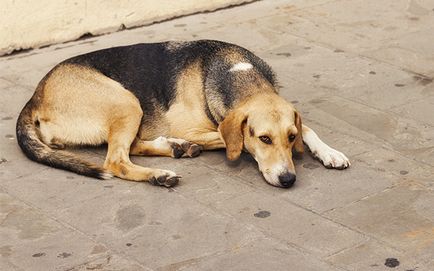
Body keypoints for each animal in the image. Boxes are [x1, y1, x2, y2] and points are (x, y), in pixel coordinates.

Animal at [15, 39, 350, 189]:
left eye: (289, 137)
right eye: (264, 138)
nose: (288, 179)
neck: (236, 71)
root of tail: (35, 96)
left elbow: (308, 129)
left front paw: (329, 152)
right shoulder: (201, 129)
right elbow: (234, 140)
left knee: (131, 147)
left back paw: (174, 149)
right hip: (127, 101)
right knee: (116, 160)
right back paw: (161, 173)